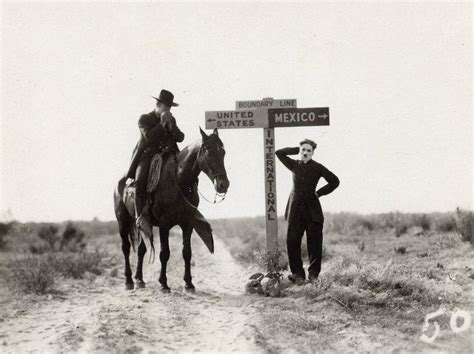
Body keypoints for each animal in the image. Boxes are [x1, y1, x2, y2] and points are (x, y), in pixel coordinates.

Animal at [113, 129, 228, 292]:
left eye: (223, 152)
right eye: (209, 152)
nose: (223, 185)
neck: (179, 181)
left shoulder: (187, 223)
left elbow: (187, 252)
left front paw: (189, 283)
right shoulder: (164, 225)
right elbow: (164, 253)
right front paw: (163, 283)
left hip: (138, 224)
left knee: (141, 249)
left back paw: (139, 279)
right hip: (122, 221)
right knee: (126, 248)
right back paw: (129, 280)